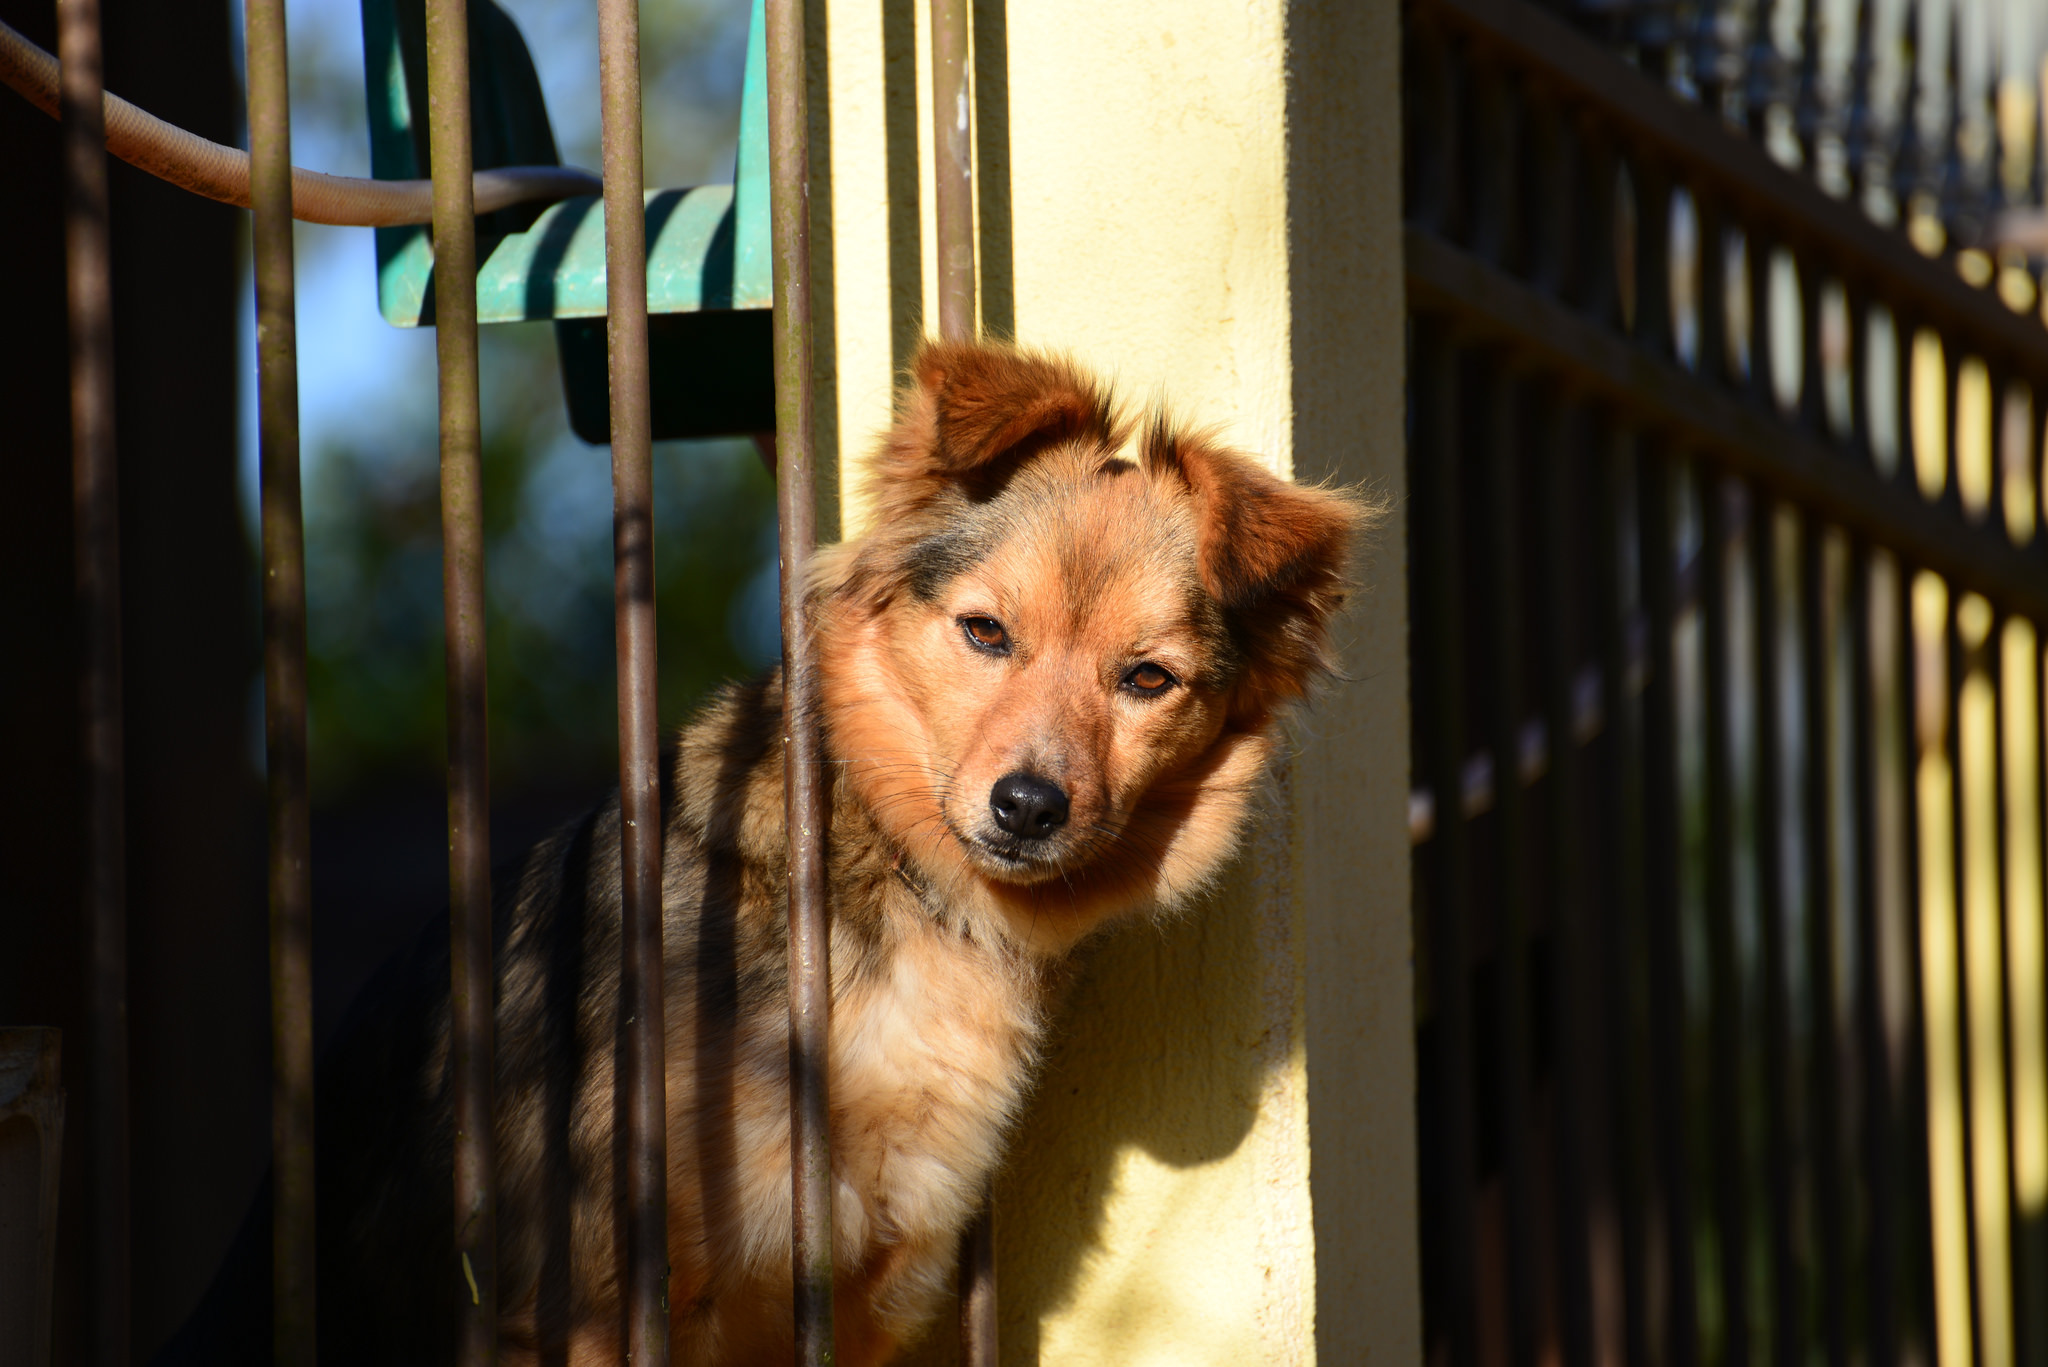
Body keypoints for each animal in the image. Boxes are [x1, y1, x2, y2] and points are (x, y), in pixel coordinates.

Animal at [296, 336, 1368, 1360]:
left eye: (1147, 679)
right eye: (985, 631)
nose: (1028, 807)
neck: (910, 899)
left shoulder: (866, 1292)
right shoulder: (594, 1306)